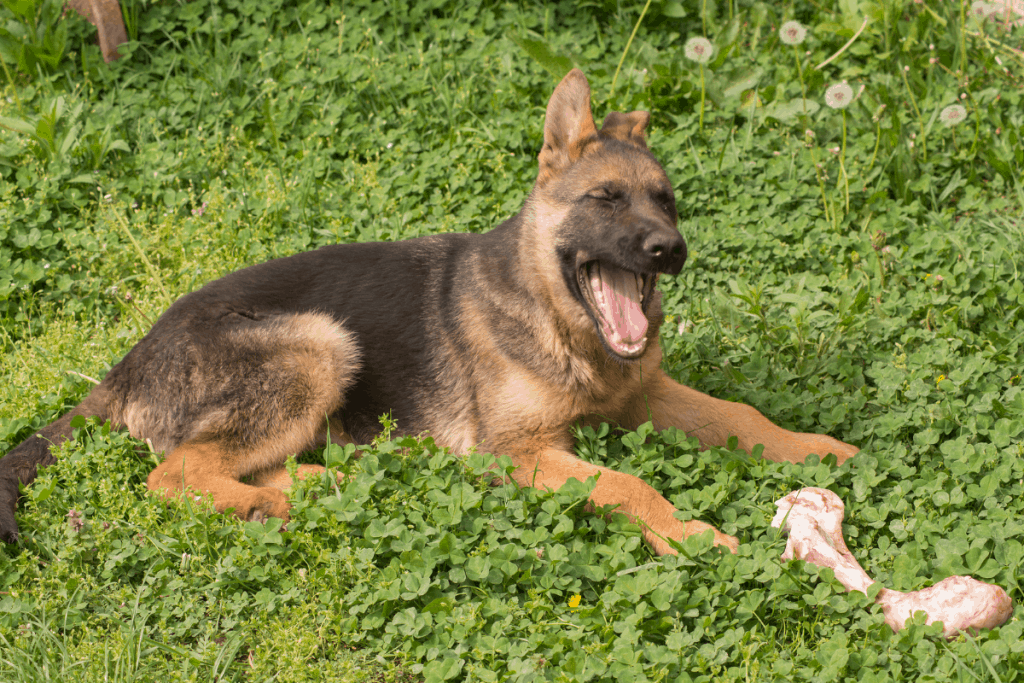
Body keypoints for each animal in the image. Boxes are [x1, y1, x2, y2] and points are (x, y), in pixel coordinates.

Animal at [0, 69, 860, 552]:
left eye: (667, 201)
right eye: (607, 199)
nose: (669, 251)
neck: (558, 321)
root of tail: (128, 361)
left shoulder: (643, 393)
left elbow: (740, 414)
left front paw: (817, 448)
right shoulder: (524, 450)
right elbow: (626, 484)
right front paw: (688, 534)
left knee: (245, 463)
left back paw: (335, 482)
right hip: (317, 345)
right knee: (176, 471)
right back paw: (268, 508)